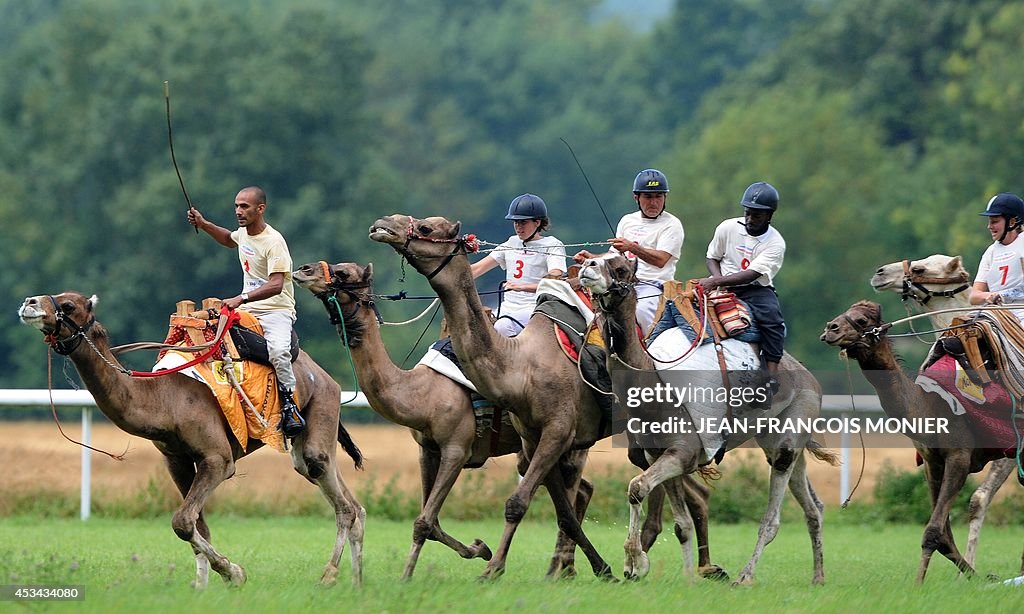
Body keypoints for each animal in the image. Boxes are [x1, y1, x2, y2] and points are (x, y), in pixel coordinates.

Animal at [18, 294, 366, 589]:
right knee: (350, 502)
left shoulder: (217, 459)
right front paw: (201, 586)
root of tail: (327, 377)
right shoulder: (177, 460)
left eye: (68, 304)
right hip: (308, 445)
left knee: (341, 501)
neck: (164, 399)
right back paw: (355, 581)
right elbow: (197, 524)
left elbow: (183, 522)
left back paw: (329, 575)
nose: (29, 302)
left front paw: (233, 572)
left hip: (319, 412)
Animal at [577, 253, 831, 585]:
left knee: (773, 518)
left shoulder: (682, 450)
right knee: (813, 506)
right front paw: (687, 578)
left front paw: (635, 564)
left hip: (794, 425)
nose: (588, 266)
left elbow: (637, 487)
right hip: (778, 439)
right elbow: (680, 522)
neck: (654, 385)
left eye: (619, 267)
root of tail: (811, 378)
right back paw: (818, 578)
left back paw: (745, 576)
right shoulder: (659, 453)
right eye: (598, 257)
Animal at [823, 298, 1024, 581]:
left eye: (862, 320)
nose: (830, 329)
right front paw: (978, 576)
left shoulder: (959, 457)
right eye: (847, 312)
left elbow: (933, 530)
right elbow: (944, 535)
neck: (929, 405)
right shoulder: (932, 462)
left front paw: (918, 583)